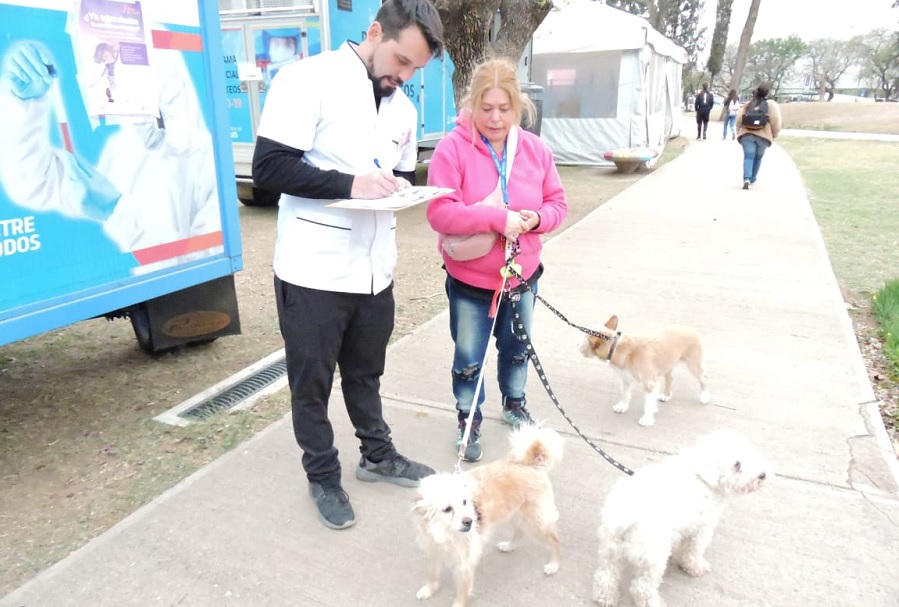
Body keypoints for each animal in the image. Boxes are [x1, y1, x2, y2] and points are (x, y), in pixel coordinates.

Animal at [414, 426, 564, 607]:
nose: (470, 521)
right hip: (515, 514)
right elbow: (432, 575)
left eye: (465, 502)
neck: (446, 533)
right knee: (520, 532)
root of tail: (531, 464)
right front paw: (428, 589)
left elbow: (462, 593)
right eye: (447, 509)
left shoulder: (465, 563)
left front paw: (457, 603)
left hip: (536, 522)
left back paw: (554, 565)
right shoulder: (434, 551)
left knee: (554, 540)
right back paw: (509, 546)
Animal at [584, 316, 712, 426]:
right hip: (668, 362)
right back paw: (666, 395)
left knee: (703, 377)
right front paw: (622, 406)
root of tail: (689, 328)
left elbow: (649, 404)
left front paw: (647, 419)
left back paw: (705, 396)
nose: (578, 343)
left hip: (693, 363)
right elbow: (625, 394)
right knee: (670, 378)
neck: (617, 347)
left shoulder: (650, 383)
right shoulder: (626, 379)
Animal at [596, 432, 768, 607]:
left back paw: (606, 598)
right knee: (641, 587)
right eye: (737, 464)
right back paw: (654, 602)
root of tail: (624, 516)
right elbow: (694, 551)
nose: (762, 475)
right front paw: (695, 566)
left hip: (610, 551)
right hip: (653, 558)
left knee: (606, 576)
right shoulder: (703, 529)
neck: (701, 475)